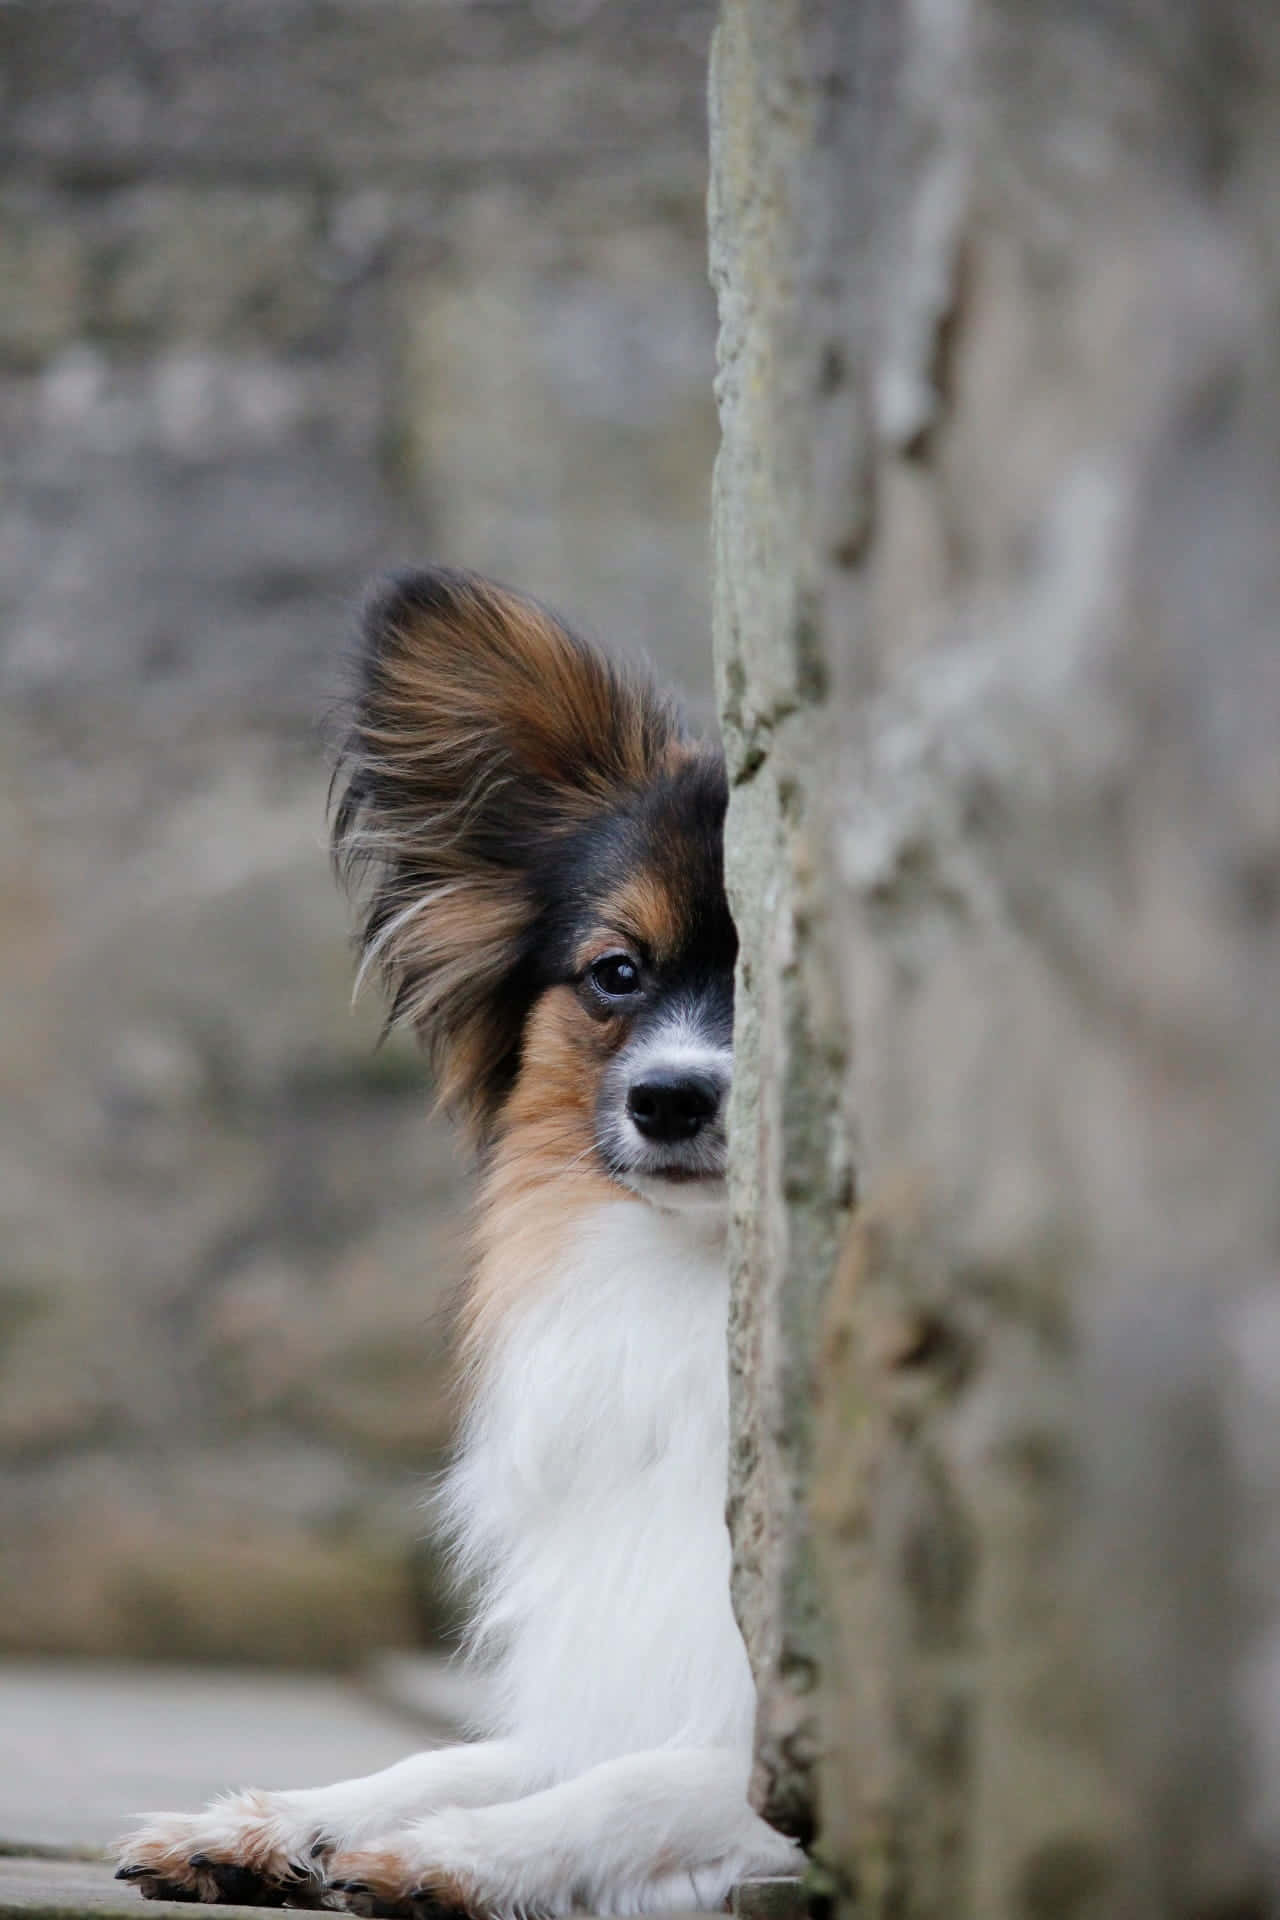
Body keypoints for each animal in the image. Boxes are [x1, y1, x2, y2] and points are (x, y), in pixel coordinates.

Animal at [117, 568, 802, 1920]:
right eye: (615, 974)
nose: (669, 1100)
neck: (693, 1287)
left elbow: (634, 1786)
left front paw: (457, 1858)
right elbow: (453, 1757)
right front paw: (271, 1823)